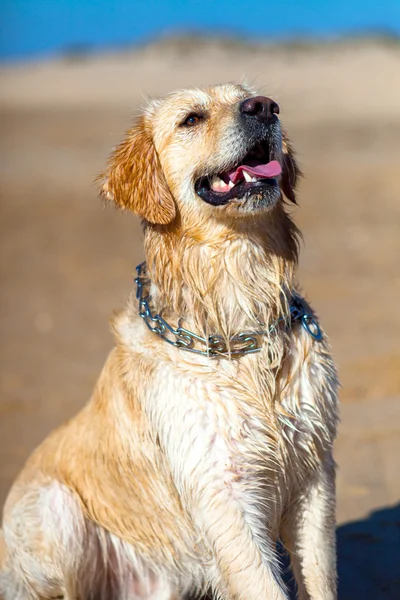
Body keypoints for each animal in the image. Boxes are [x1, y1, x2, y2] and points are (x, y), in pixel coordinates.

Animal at [0, 84, 340, 600]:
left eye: (251, 97)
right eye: (191, 119)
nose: (264, 107)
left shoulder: (314, 476)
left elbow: (319, 579)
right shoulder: (223, 490)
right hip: (55, 509)